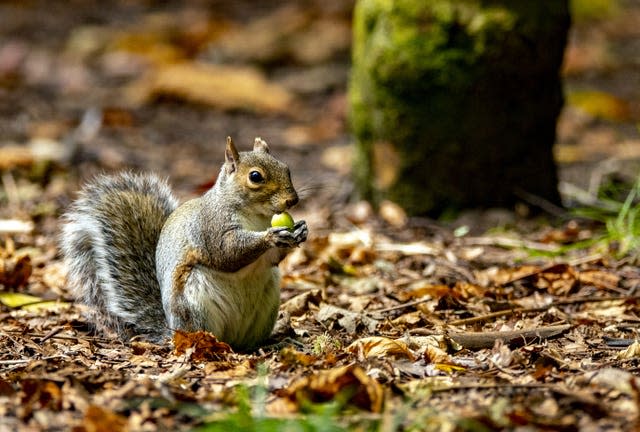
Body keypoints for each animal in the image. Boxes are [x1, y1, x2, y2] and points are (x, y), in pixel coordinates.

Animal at [60, 137, 308, 350]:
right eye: (255, 177)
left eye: (286, 168)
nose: (292, 200)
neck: (257, 216)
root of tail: (173, 331)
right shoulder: (210, 226)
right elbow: (226, 253)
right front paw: (270, 236)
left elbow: (273, 259)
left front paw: (301, 230)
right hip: (194, 304)